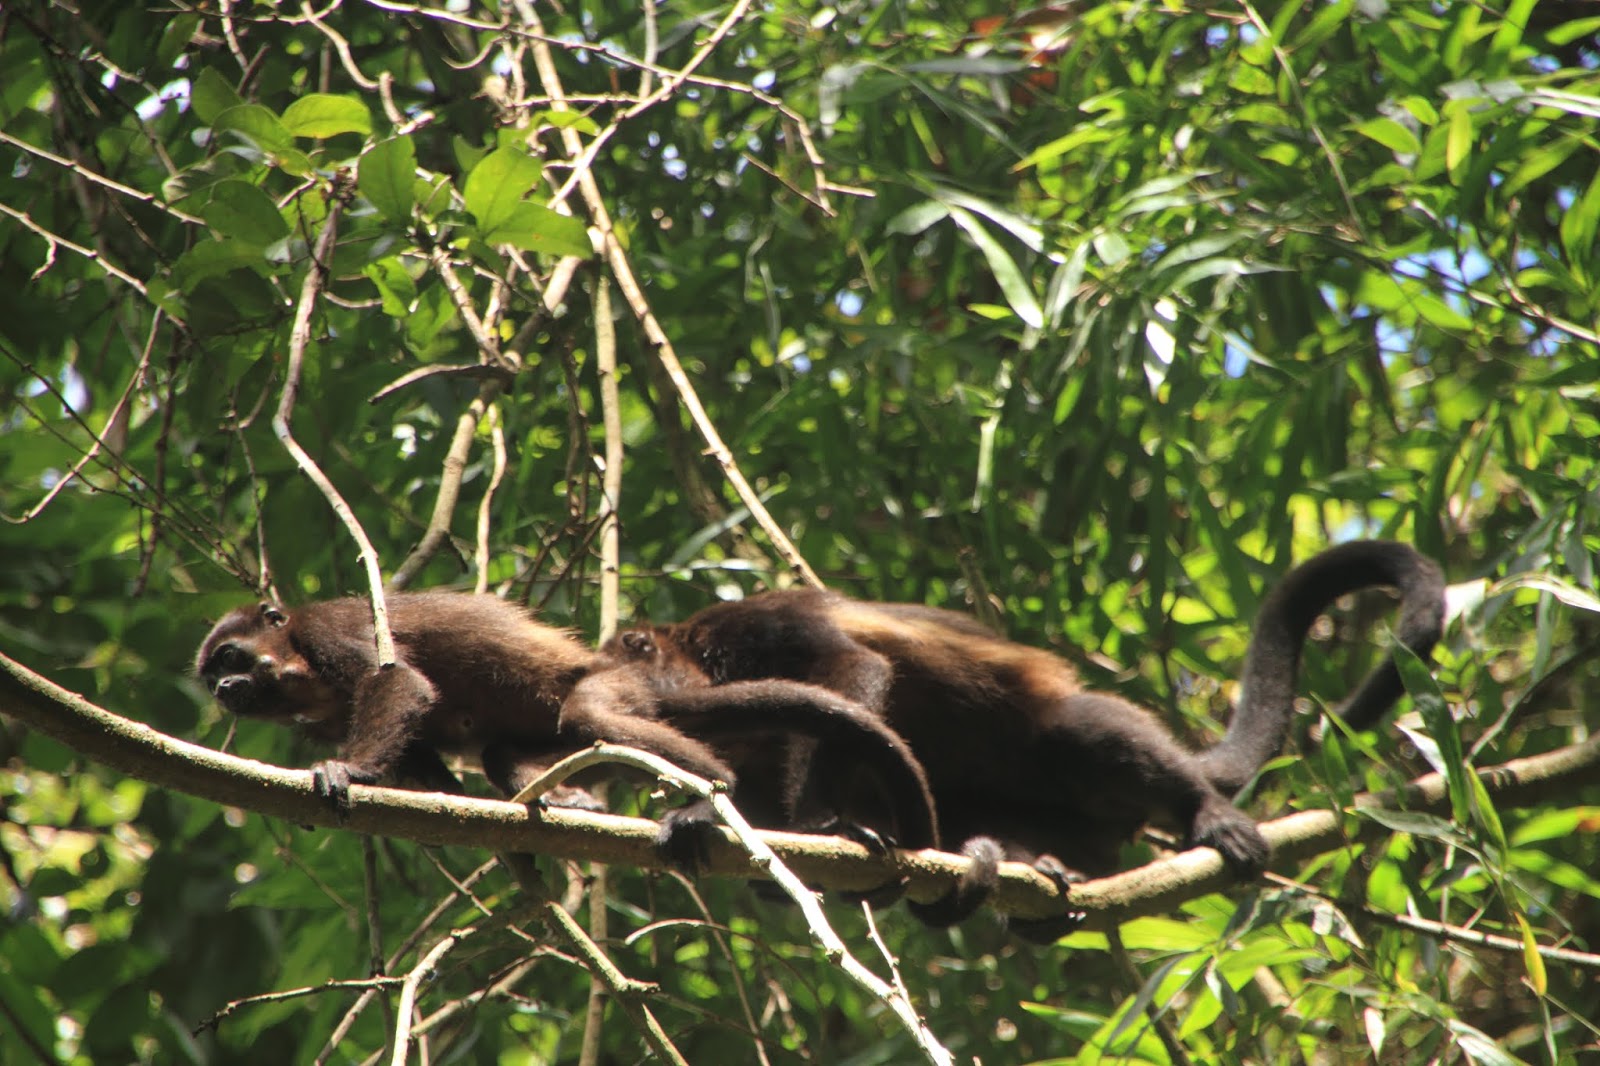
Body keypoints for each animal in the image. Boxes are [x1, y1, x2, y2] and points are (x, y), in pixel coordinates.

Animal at [193, 591, 941, 866]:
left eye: (230, 659)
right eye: (213, 676)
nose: (224, 690)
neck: (298, 667)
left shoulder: (330, 628)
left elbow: (401, 683)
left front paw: (350, 770)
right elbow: (425, 752)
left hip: (622, 689)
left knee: (593, 713)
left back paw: (711, 792)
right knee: (506, 750)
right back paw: (564, 798)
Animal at [603, 540, 1446, 938]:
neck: (698, 656)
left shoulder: (756, 627)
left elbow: (851, 674)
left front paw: (815, 825)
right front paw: (699, 818)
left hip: (1071, 744)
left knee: (1095, 735)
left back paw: (1207, 813)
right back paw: (1036, 870)